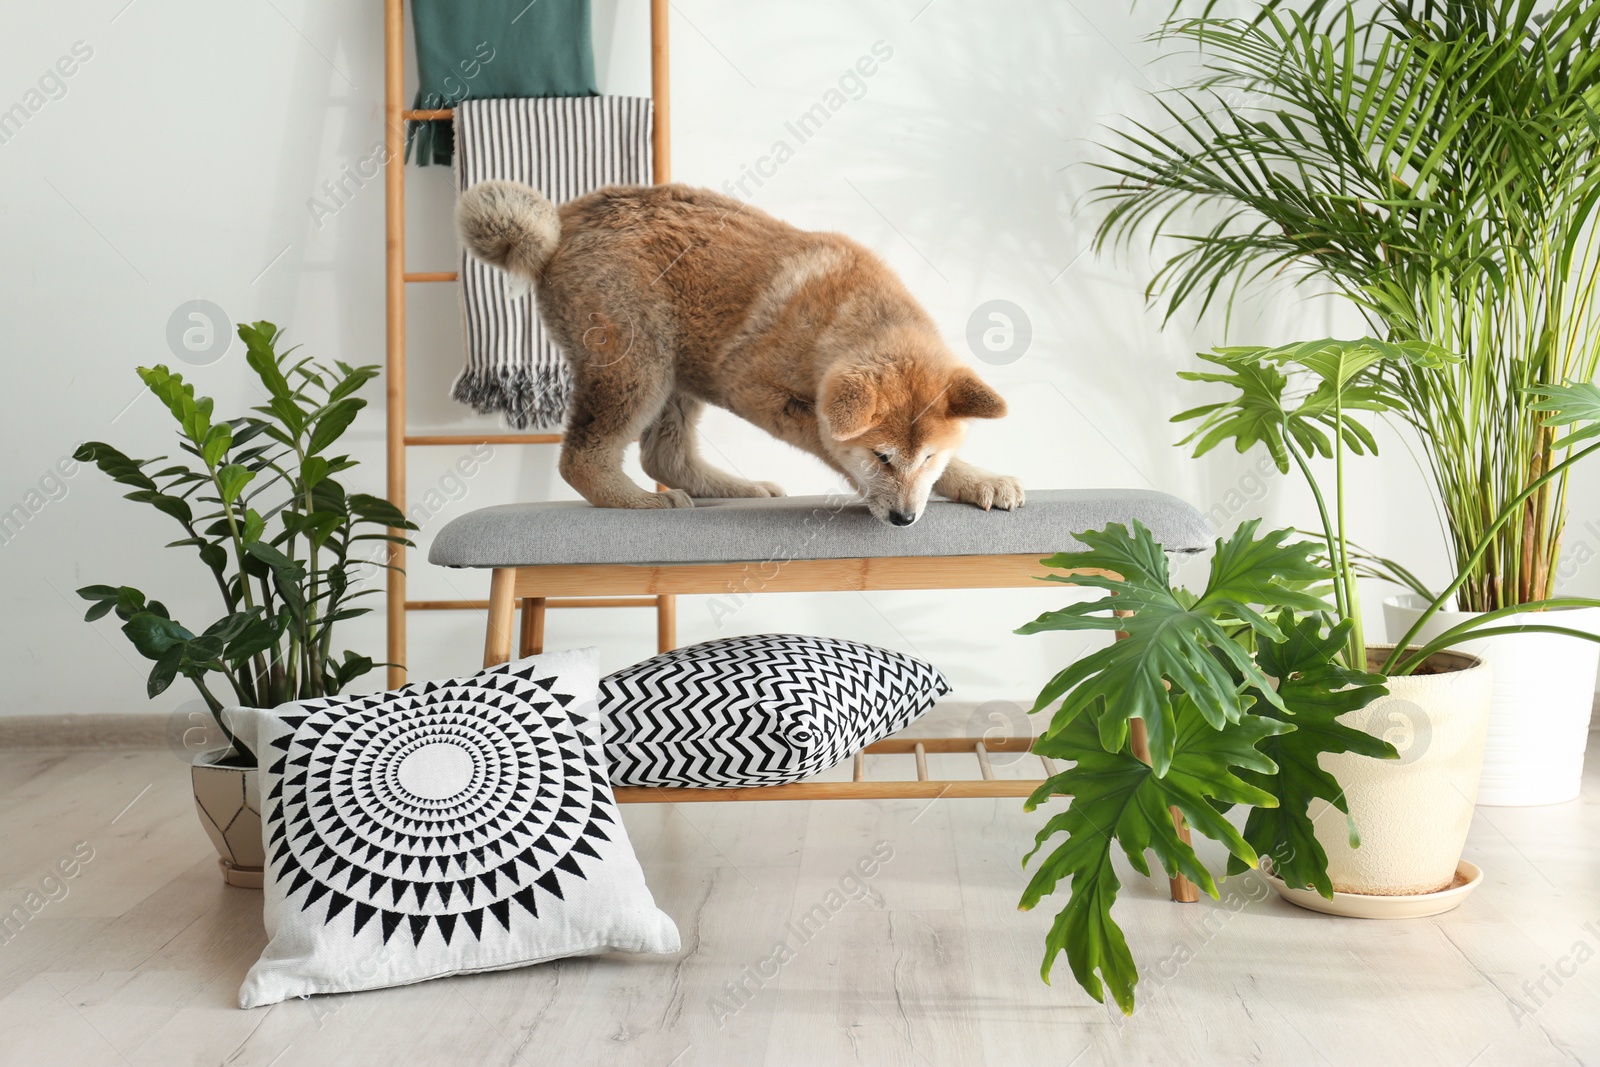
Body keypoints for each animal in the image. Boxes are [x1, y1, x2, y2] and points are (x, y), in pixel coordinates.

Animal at [451, 181, 1024, 527]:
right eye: (882, 457)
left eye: (926, 457)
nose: (904, 518)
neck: (843, 318)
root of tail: (564, 222)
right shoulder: (751, 387)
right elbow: (830, 442)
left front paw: (977, 480)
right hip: (639, 363)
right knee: (583, 459)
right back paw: (640, 501)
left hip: (677, 369)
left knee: (664, 456)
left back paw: (734, 487)